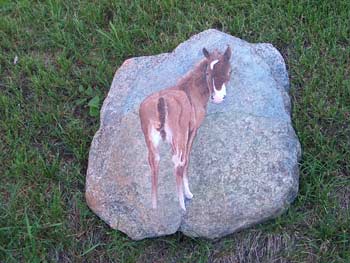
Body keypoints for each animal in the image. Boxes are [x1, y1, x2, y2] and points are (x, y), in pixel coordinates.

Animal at [139, 47, 232, 212]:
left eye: (229, 71)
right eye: (207, 72)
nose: (218, 97)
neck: (191, 91)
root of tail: (160, 102)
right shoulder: (192, 130)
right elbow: (186, 161)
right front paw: (188, 194)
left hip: (151, 139)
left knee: (153, 161)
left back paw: (155, 207)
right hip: (179, 136)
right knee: (178, 162)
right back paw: (182, 206)